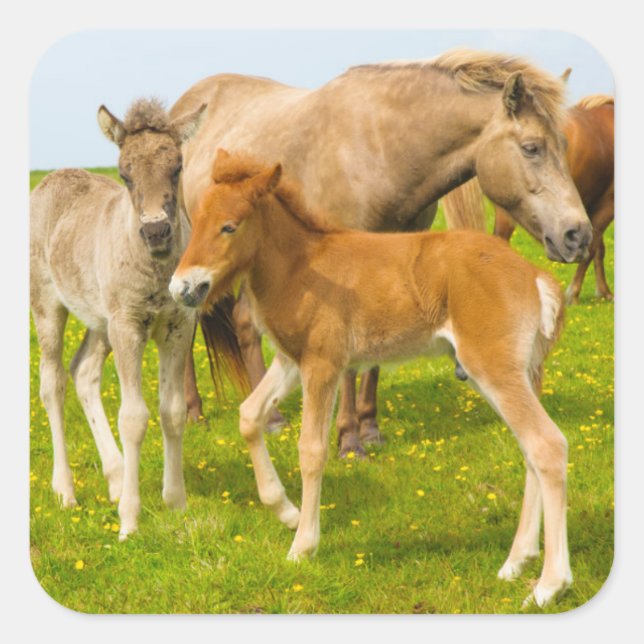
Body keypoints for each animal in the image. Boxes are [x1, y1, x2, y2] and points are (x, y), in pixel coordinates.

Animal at [30, 98, 206, 539]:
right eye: (125, 174)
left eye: (177, 167)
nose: (157, 232)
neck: (156, 271)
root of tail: (50, 178)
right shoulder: (128, 327)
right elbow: (134, 417)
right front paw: (129, 520)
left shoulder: (178, 326)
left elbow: (172, 412)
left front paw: (175, 503)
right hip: (48, 306)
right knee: (53, 382)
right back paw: (66, 491)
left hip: (100, 321)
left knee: (84, 372)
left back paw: (114, 477)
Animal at [170, 49, 591, 457]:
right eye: (531, 148)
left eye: (565, 145)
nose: (578, 235)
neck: (381, 149)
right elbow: (348, 368)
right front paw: (348, 440)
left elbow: (372, 362)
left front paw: (370, 429)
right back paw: (195, 412)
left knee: (243, 323)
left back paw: (269, 416)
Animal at [170, 150, 572, 608]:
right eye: (196, 221)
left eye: (229, 226)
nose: (181, 287)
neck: (301, 265)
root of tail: (536, 278)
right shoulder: (292, 360)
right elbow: (249, 415)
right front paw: (285, 511)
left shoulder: (323, 363)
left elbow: (311, 450)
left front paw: (303, 545)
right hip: (518, 373)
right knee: (530, 451)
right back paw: (516, 562)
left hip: (494, 368)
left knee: (547, 445)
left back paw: (549, 584)